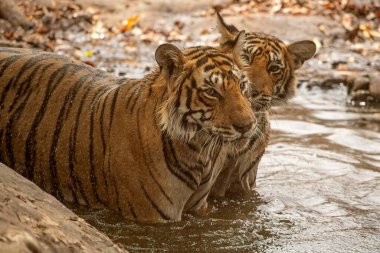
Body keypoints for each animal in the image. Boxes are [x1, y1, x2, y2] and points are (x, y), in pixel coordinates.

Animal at [0, 38, 256, 222]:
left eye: (242, 85)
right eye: (211, 92)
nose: (248, 125)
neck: (199, 151)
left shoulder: (200, 208)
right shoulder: (150, 216)